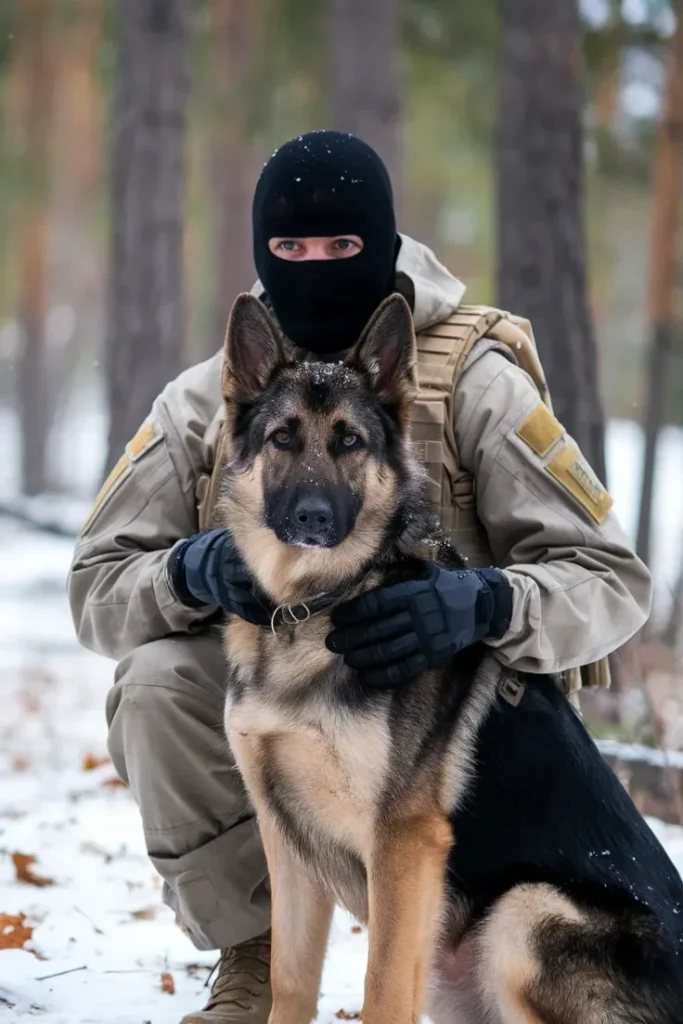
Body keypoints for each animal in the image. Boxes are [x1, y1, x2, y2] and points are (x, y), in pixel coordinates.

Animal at [214, 292, 683, 1019]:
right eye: (282, 439)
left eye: (349, 441)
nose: (313, 520)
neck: (313, 606)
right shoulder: (286, 841)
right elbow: (290, 981)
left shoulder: (404, 843)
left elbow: (380, 989)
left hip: (522, 914)